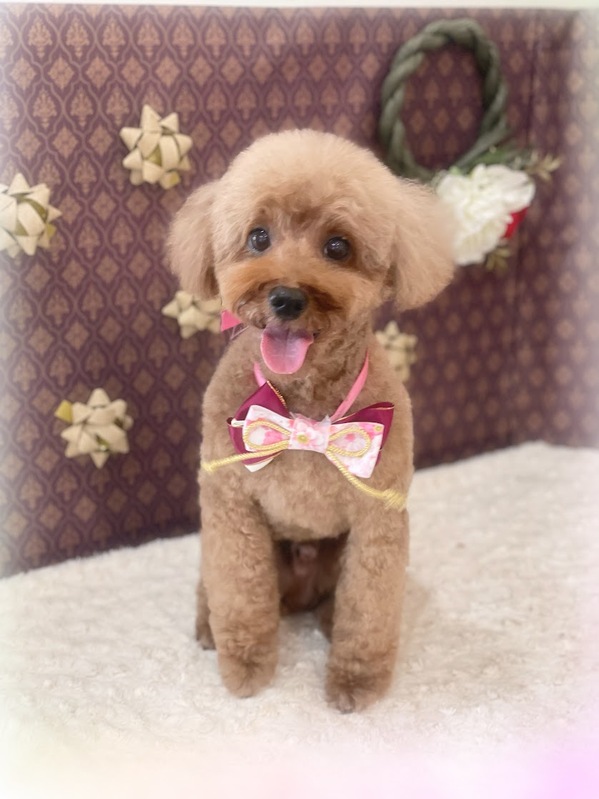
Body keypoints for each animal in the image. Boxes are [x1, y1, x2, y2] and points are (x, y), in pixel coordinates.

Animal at [168, 129, 453, 712]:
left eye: (338, 246)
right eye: (258, 237)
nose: (286, 297)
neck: (302, 404)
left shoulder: (379, 517)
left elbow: (368, 610)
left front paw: (356, 681)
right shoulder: (230, 505)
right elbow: (240, 594)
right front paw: (245, 667)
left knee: (339, 601)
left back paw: (325, 618)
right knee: (213, 587)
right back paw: (208, 627)